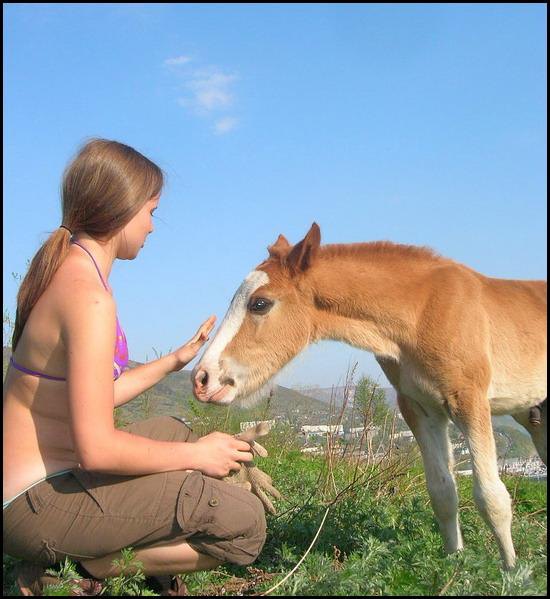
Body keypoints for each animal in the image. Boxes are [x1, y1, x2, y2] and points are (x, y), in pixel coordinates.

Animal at [193, 223, 548, 568]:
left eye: (260, 303)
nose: (203, 379)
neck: (423, 311)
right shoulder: (420, 407)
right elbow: (442, 492)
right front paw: (454, 566)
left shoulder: (469, 400)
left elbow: (491, 497)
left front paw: (512, 573)